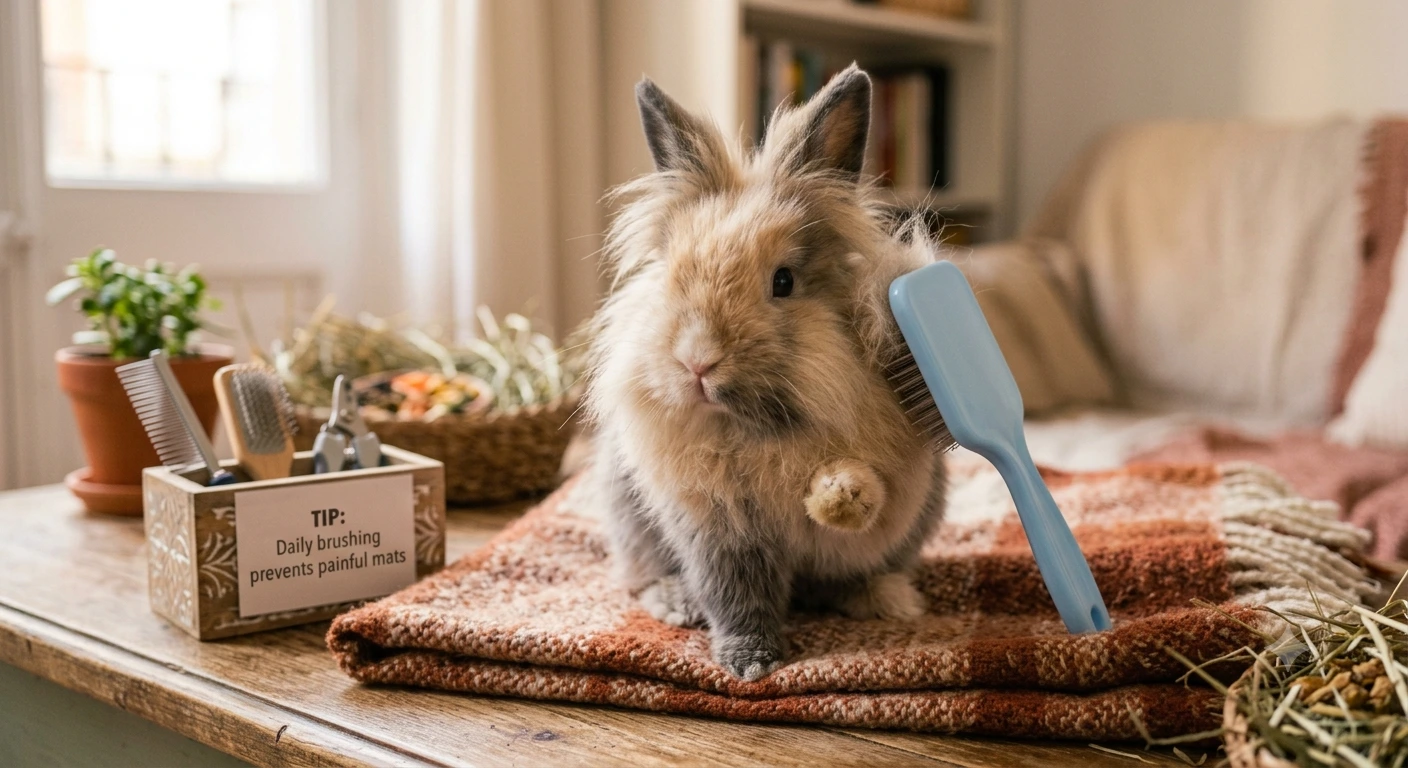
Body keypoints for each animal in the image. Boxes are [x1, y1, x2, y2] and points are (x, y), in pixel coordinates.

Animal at [582, 64, 948, 681]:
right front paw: (749, 663)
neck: (757, 427)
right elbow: (736, 598)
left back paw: (887, 599)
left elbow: (864, 497)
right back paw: (675, 603)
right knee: (645, 578)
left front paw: (840, 496)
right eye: (673, 272)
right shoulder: (718, 531)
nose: (698, 360)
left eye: (783, 282)